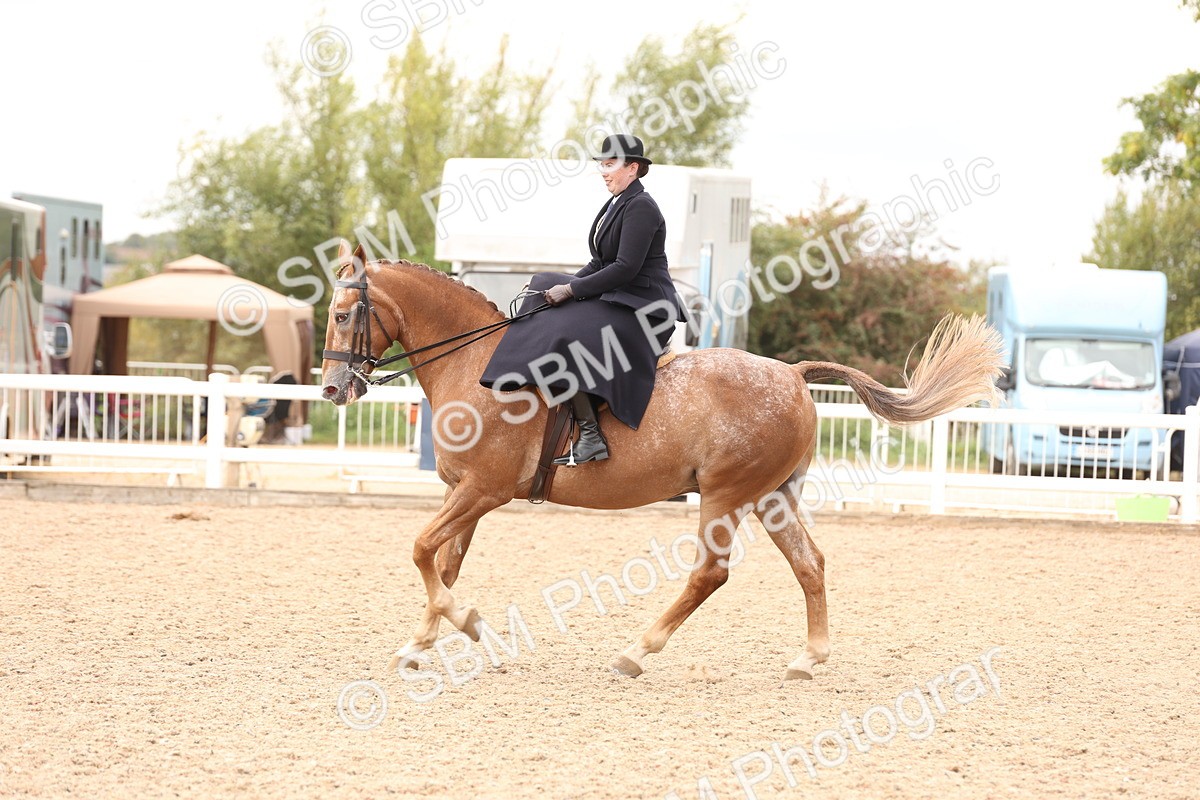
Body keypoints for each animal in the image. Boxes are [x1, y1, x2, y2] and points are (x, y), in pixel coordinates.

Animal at [320, 242, 1004, 681]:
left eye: (343, 313)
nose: (331, 390)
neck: (477, 366)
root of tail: (792, 373)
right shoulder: (463, 493)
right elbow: (443, 565)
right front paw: (423, 645)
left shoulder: (484, 491)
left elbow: (421, 551)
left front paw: (475, 628)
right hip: (772, 495)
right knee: (809, 564)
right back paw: (808, 659)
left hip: (725, 493)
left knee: (711, 573)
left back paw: (635, 653)